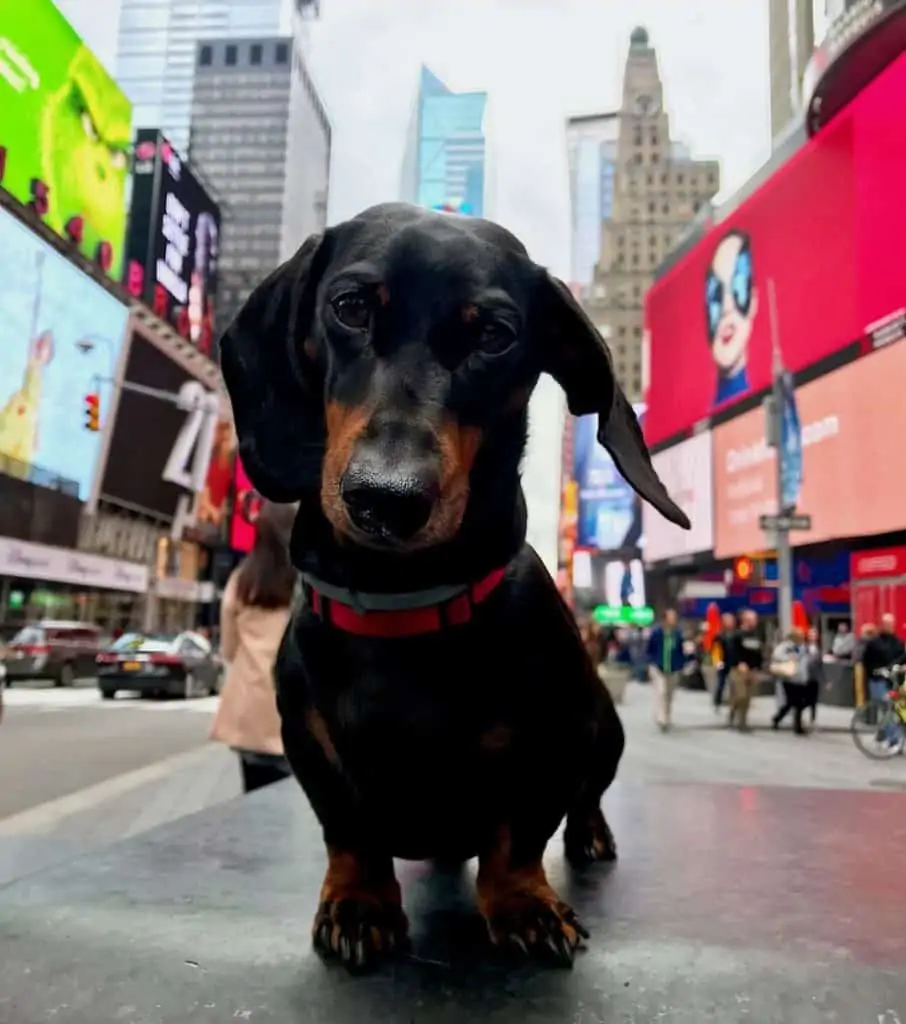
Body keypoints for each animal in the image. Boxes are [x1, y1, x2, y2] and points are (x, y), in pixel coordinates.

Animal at [219, 201, 683, 974]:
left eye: (494, 336)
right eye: (350, 307)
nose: (386, 499)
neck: (403, 604)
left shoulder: (555, 740)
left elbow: (519, 834)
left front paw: (524, 902)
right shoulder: (307, 744)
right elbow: (347, 829)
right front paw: (359, 903)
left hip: (605, 730)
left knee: (586, 798)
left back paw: (589, 835)